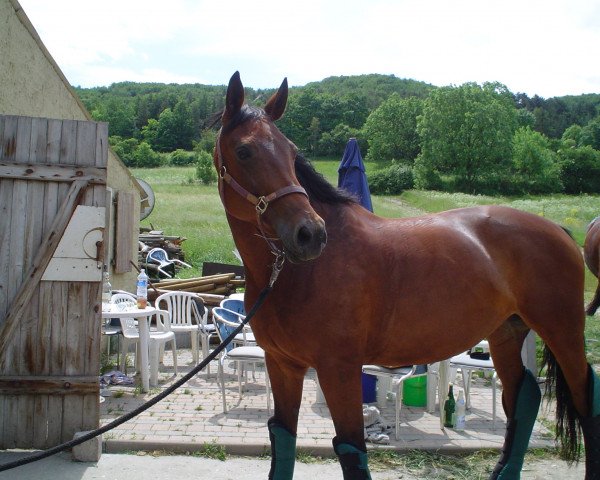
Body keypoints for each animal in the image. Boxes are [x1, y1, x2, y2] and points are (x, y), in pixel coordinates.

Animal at [213, 72, 596, 480]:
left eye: (290, 151)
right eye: (245, 151)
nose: (310, 234)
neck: (296, 275)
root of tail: (556, 229)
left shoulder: (338, 369)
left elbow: (351, 449)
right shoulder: (283, 365)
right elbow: (282, 439)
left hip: (562, 331)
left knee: (586, 400)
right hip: (506, 333)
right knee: (523, 398)